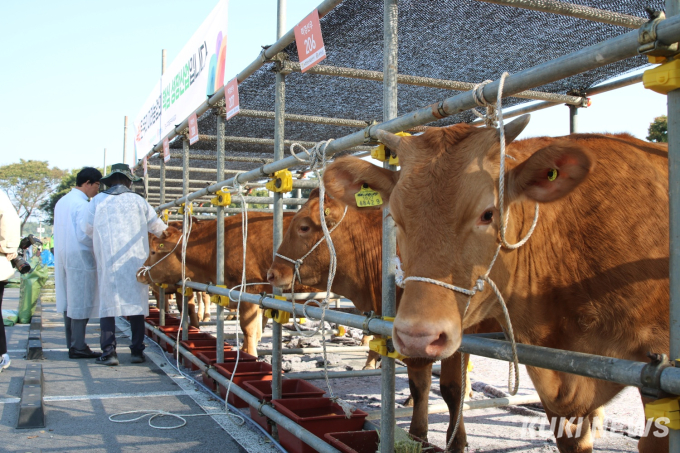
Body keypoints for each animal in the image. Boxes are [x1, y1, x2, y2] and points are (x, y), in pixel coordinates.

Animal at [268, 188, 502, 448]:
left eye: (304, 227)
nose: (272, 273)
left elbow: (451, 389)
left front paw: (456, 442)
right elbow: (419, 385)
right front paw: (417, 435)